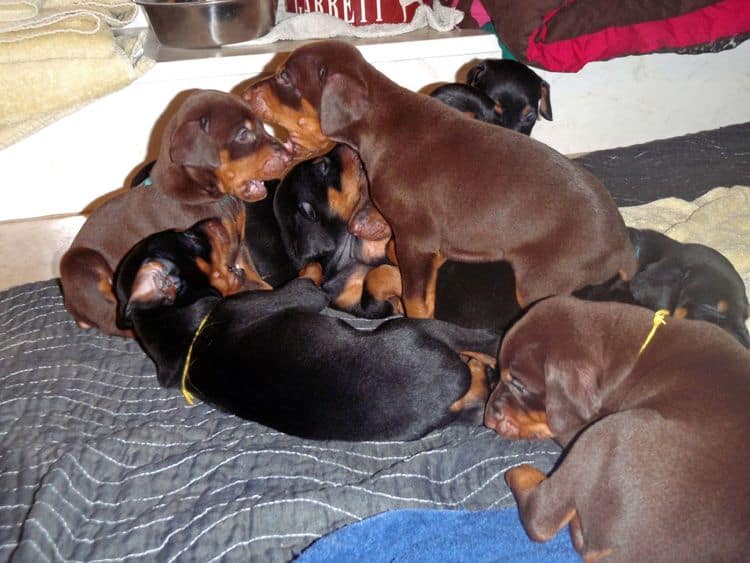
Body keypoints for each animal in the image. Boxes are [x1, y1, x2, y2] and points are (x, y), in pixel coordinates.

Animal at [114, 218, 500, 442]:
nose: (214, 217)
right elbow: (311, 278)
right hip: (416, 331)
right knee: (477, 340)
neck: (180, 330)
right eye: (190, 240)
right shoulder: (298, 293)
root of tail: (449, 390)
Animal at [244, 41, 636, 320]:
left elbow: (416, 301)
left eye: (284, 77)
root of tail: (621, 244)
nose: (245, 93)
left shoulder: (414, 239)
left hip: (542, 281)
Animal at [484, 298, 750, 560]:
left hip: (608, 430)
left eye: (519, 384)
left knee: (540, 518)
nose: (487, 417)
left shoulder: (583, 425)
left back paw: (522, 473)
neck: (633, 354)